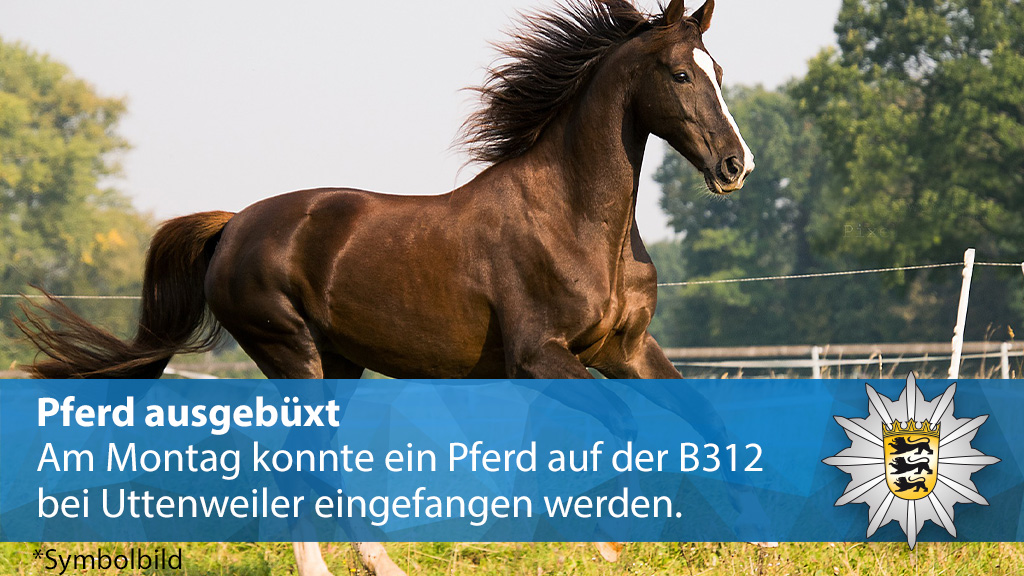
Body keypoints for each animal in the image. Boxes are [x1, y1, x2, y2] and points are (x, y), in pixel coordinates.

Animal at [17, 0, 752, 574]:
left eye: (719, 72)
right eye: (681, 73)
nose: (735, 165)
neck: (573, 218)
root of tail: (231, 227)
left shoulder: (624, 349)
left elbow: (707, 423)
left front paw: (749, 538)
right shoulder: (539, 357)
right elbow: (624, 424)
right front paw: (608, 543)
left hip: (339, 362)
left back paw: (380, 564)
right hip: (292, 353)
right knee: (307, 464)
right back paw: (348, 567)